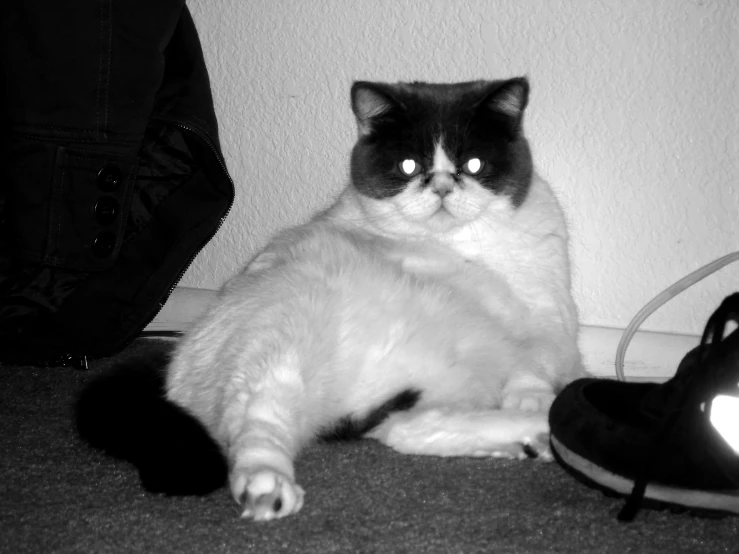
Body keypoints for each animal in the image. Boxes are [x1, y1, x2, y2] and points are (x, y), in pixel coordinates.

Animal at [75, 75, 584, 520]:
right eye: (408, 167)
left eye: (474, 165)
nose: (441, 187)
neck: (463, 248)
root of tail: (174, 360)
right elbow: (531, 364)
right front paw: (533, 401)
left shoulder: (549, 318)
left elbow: (536, 361)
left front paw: (532, 403)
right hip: (279, 349)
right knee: (259, 422)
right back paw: (266, 487)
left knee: (414, 429)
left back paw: (535, 435)